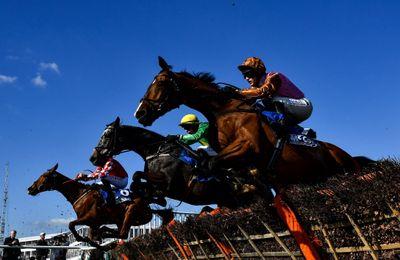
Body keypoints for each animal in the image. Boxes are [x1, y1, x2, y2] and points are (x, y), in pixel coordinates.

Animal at [26, 165, 167, 248]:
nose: (30, 188)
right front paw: (92, 239)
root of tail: (148, 207)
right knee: (118, 232)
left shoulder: (91, 218)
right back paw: (104, 233)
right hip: (120, 220)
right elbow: (90, 235)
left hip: (131, 212)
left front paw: (81, 237)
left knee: (122, 234)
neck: (81, 194)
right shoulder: (93, 223)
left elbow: (71, 224)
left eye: (44, 176)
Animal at [89, 118, 260, 209]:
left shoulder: (170, 184)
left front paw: (153, 196)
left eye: (107, 135)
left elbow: (137, 176)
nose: (93, 158)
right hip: (229, 202)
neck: (158, 150)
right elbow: (137, 181)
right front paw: (149, 195)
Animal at [134, 57, 372, 188]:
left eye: (160, 82)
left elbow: (210, 163)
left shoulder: (248, 146)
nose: (140, 112)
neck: (223, 111)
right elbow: (212, 163)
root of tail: (347, 155)